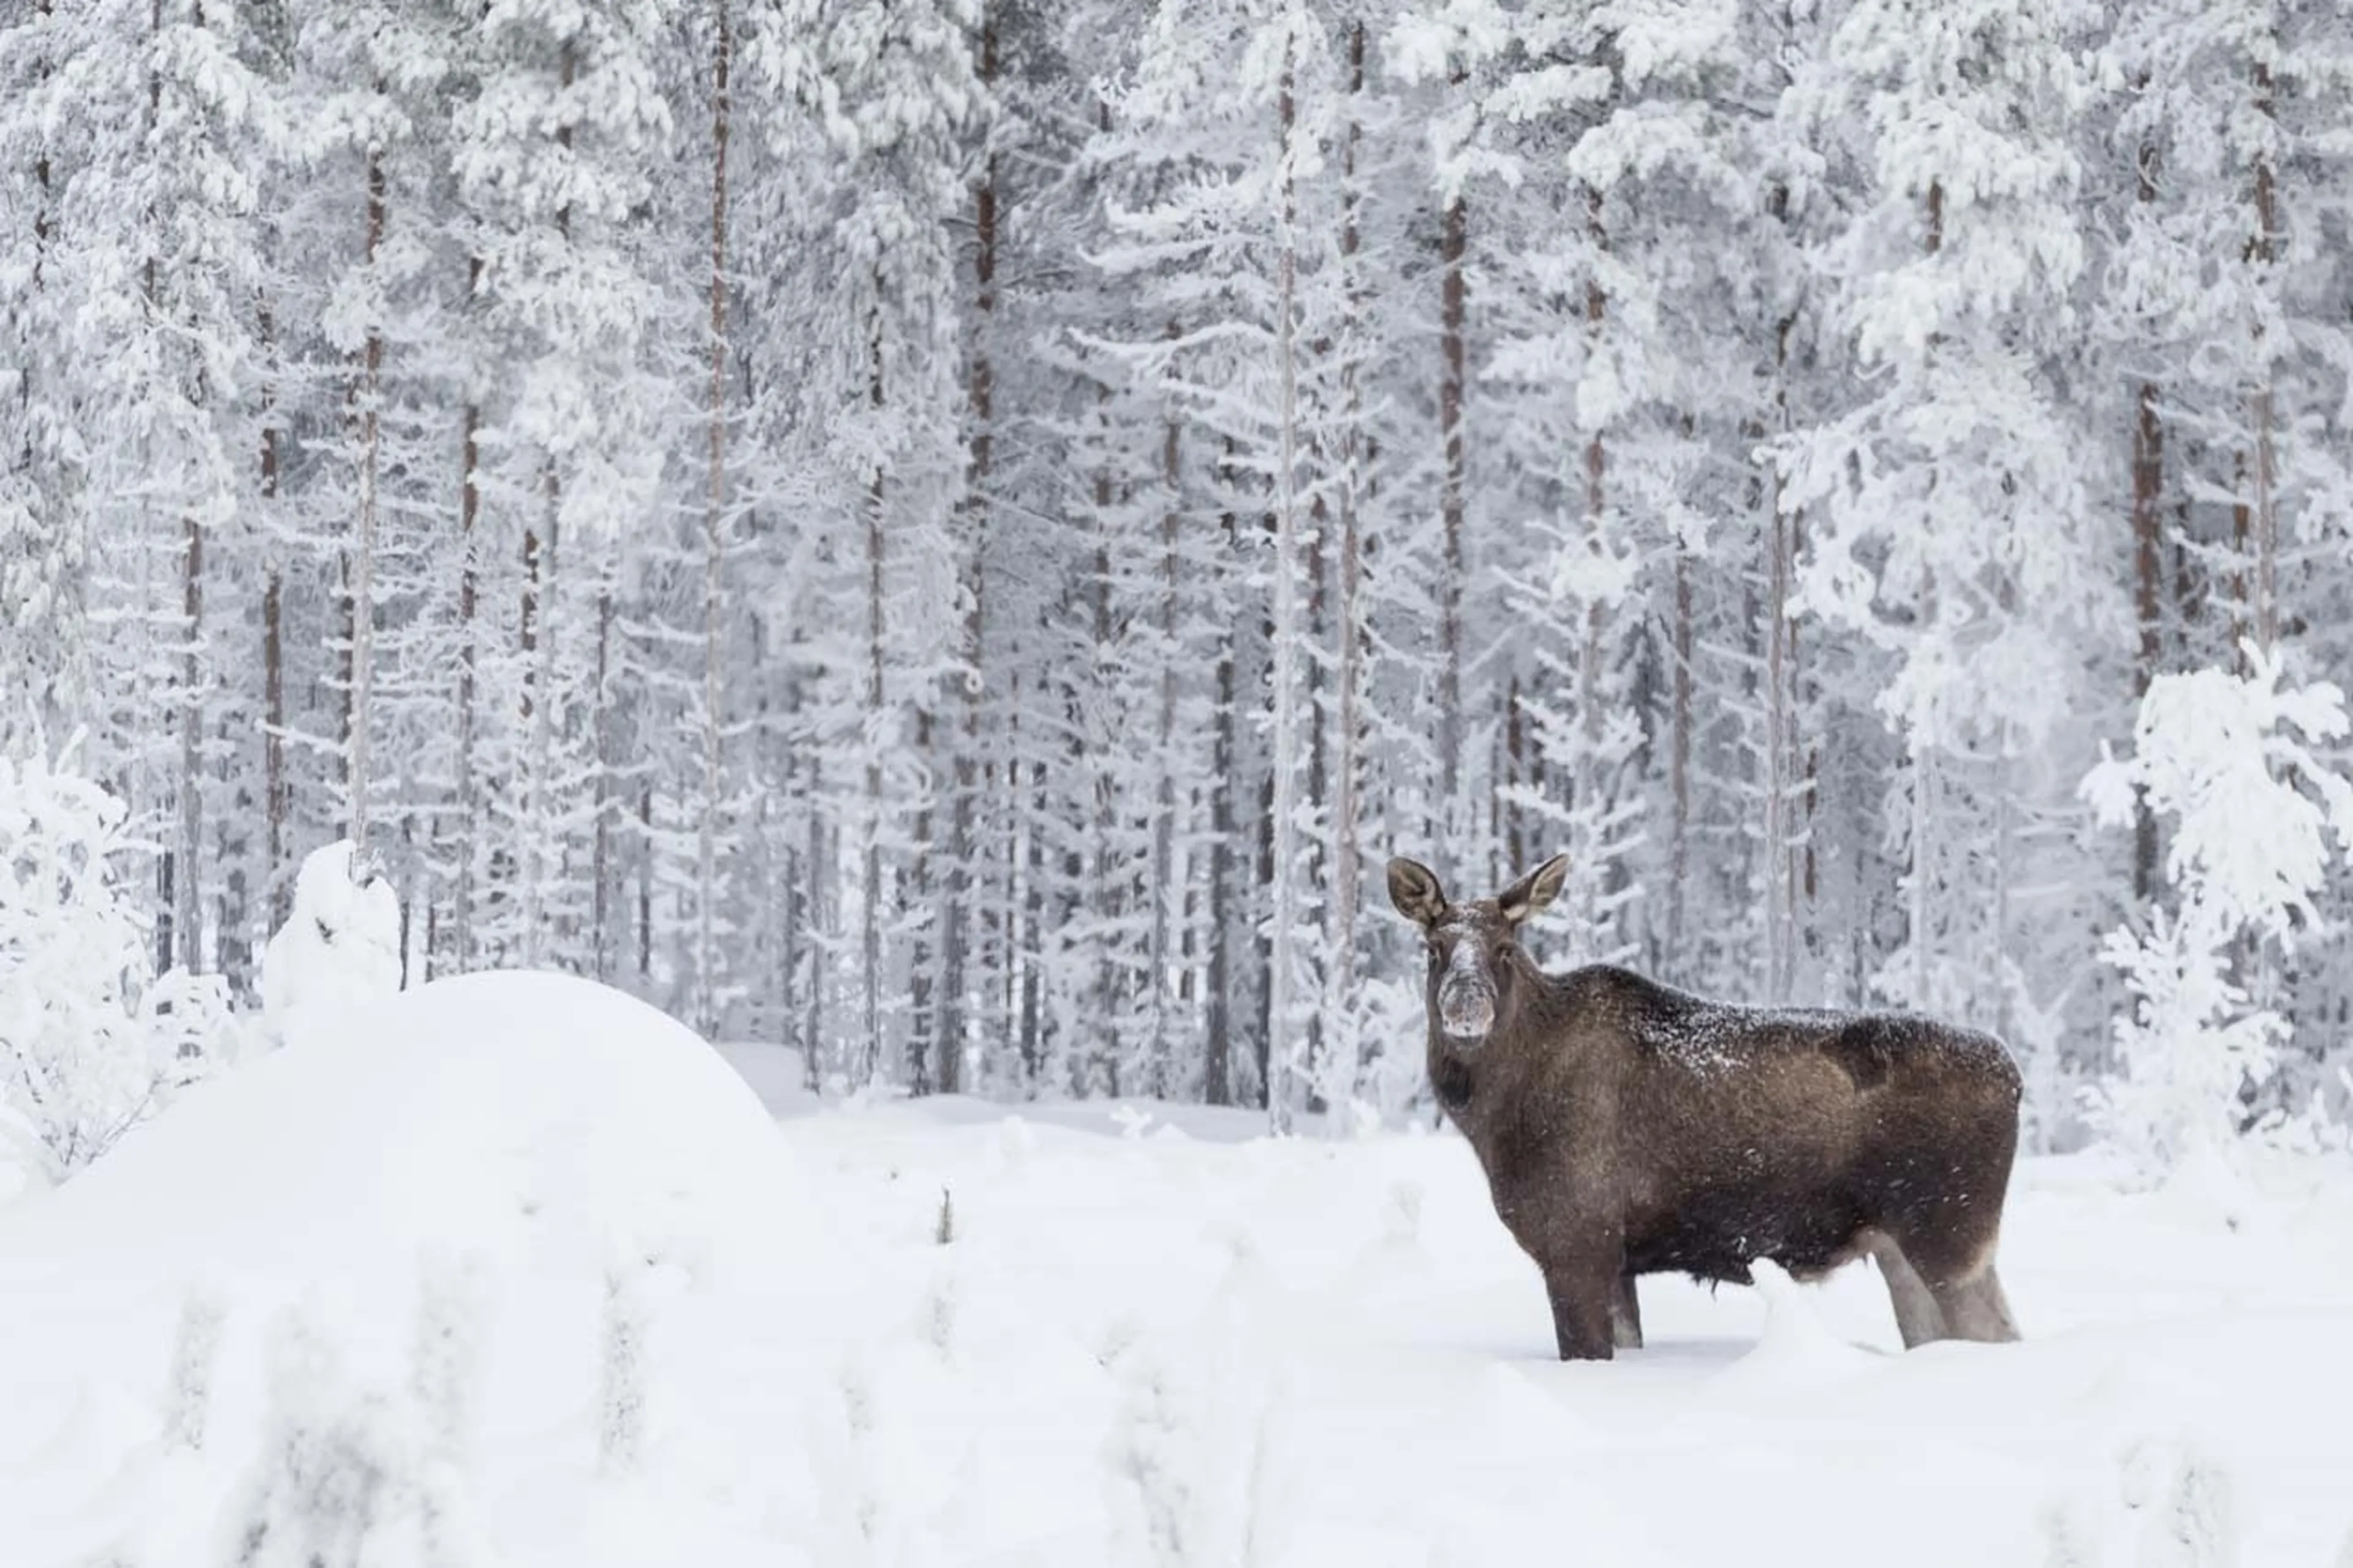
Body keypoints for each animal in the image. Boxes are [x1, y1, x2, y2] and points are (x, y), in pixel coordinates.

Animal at [1387, 852, 2024, 1362]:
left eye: (1506, 948)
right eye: (1434, 947)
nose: (1466, 1007)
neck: (1496, 1118)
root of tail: (2015, 1076)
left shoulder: (1576, 1241)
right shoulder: (1618, 1262)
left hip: (1951, 1238)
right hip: (1901, 1248)